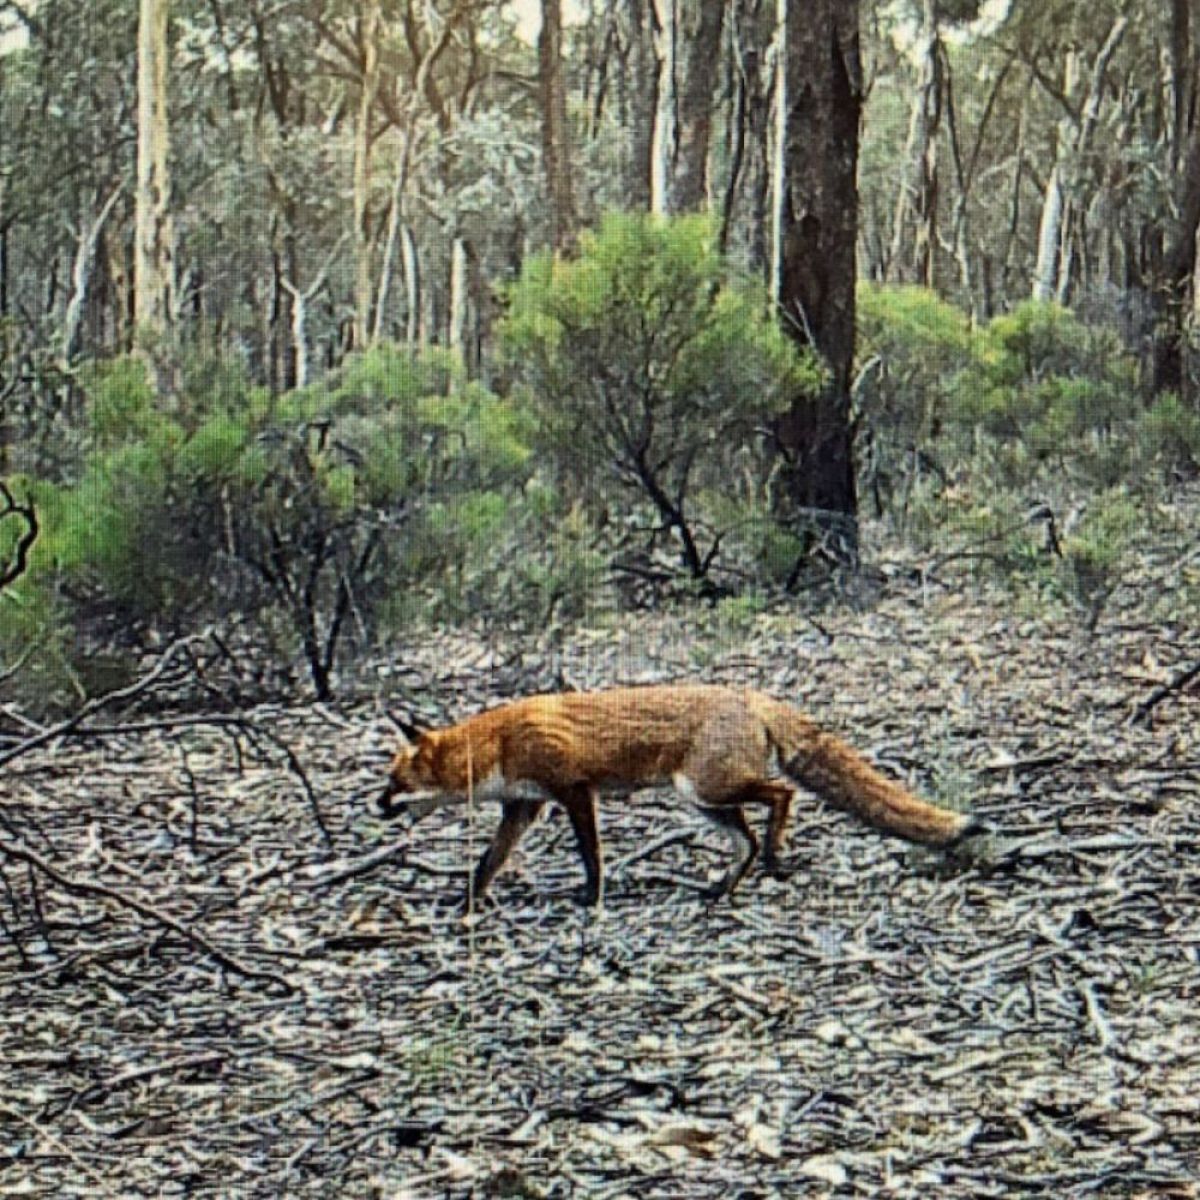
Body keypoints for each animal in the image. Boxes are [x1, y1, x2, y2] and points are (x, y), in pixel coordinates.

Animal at [379, 686, 979, 907]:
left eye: (394, 784)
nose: (374, 807)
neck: (501, 742)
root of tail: (750, 695)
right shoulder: (524, 806)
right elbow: (488, 861)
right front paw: (467, 900)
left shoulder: (574, 791)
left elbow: (591, 854)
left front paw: (591, 896)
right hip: (702, 803)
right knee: (746, 840)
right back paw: (725, 885)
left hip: (708, 788)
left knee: (781, 794)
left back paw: (774, 855)